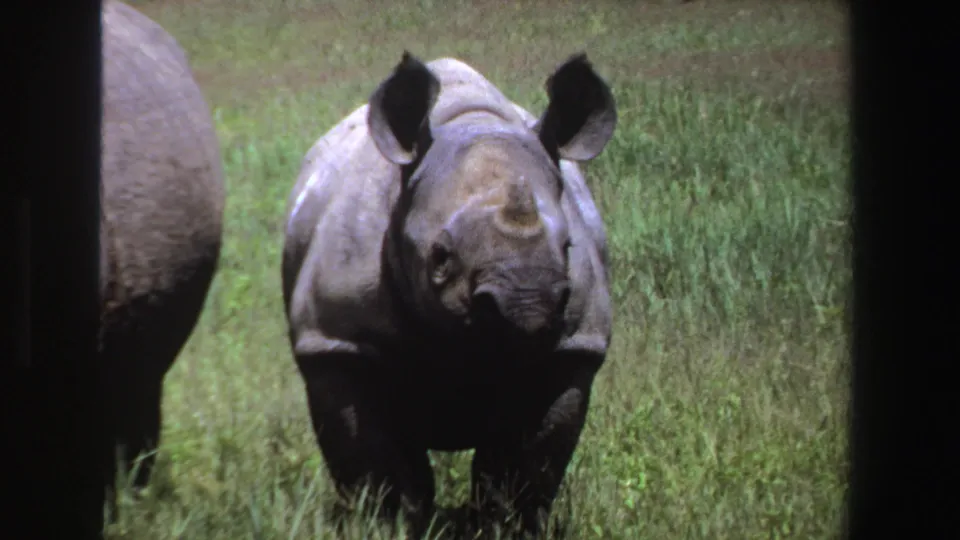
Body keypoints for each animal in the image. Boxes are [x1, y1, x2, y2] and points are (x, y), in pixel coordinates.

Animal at [282, 52, 616, 537]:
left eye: (568, 247)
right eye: (440, 257)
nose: (527, 306)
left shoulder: (570, 347)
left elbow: (523, 468)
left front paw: (506, 528)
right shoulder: (336, 340)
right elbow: (377, 467)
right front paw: (390, 528)